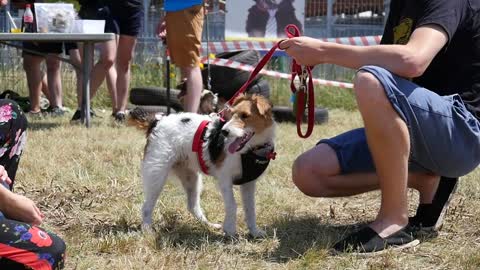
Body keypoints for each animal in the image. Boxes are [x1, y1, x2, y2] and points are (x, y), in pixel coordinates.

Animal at [128, 94, 278, 236]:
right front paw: (230, 230)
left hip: (191, 178)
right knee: (146, 206)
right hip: (157, 174)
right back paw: (147, 230)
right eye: (232, 114)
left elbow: (250, 208)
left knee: (192, 205)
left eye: (245, 116)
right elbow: (232, 205)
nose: (224, 132)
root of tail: (157, 121)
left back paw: (208, 225)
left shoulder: (248, 183)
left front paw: (254, 231)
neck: (250, 150)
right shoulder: (225, 179)